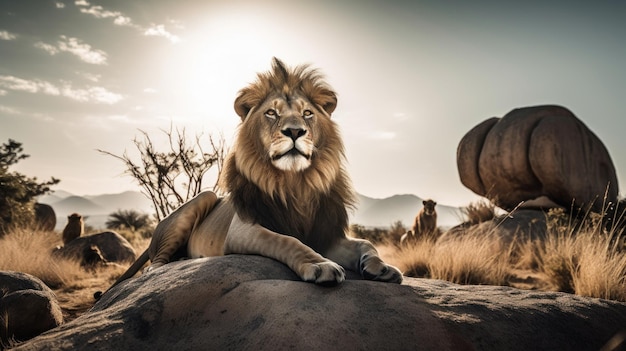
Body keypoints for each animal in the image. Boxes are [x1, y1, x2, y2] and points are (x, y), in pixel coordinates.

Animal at [95, 58, 402, 300]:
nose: (295, 131)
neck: (296, 184)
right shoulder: (243, 231)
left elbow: (365, 243)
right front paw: (321, 266)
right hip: (204, 198)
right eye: (271, 113)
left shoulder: (325, 234)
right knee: (154, 265)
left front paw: (381, 267)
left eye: (307, 113)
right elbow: (287, 241)